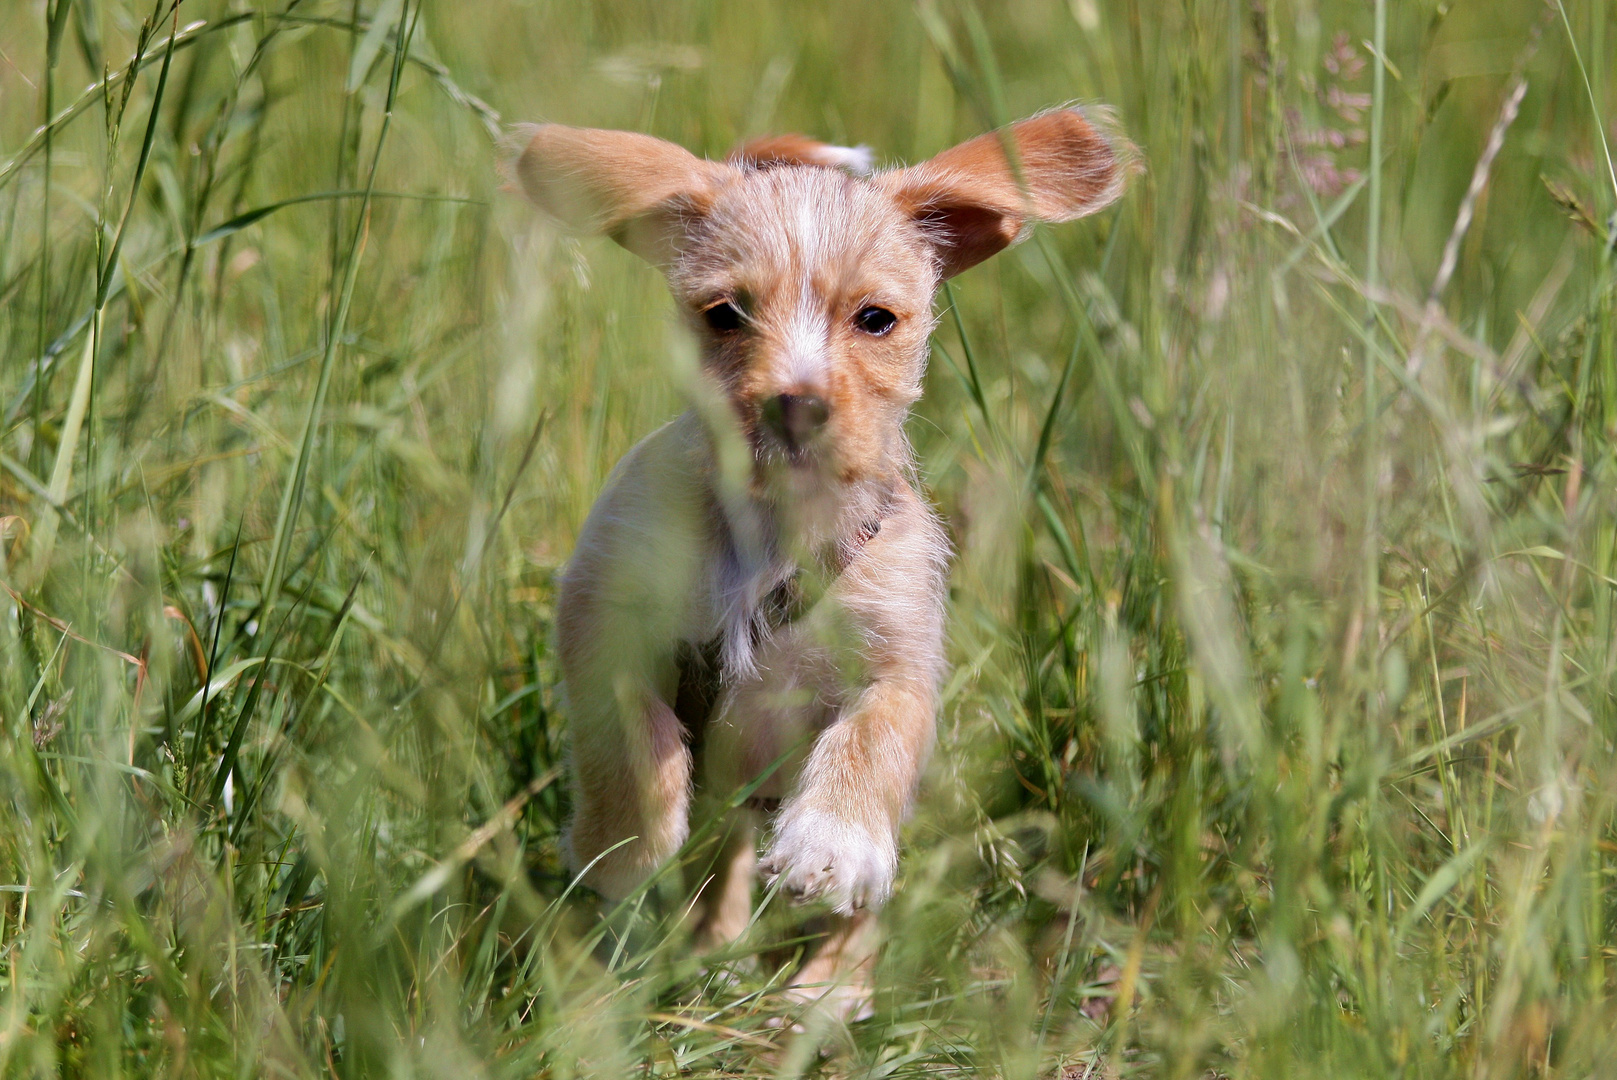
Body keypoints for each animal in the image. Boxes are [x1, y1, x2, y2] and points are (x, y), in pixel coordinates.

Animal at [510, 105, 1131, 1008]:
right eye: (723, 314)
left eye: (875, 319)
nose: (796, 404)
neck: (775, 535)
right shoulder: (602, 614)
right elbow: (628, 739)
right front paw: (625, 842)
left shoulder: (899, 668)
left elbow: (867, 744)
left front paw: (828, 845)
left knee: (848, 912)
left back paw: (823, 995)